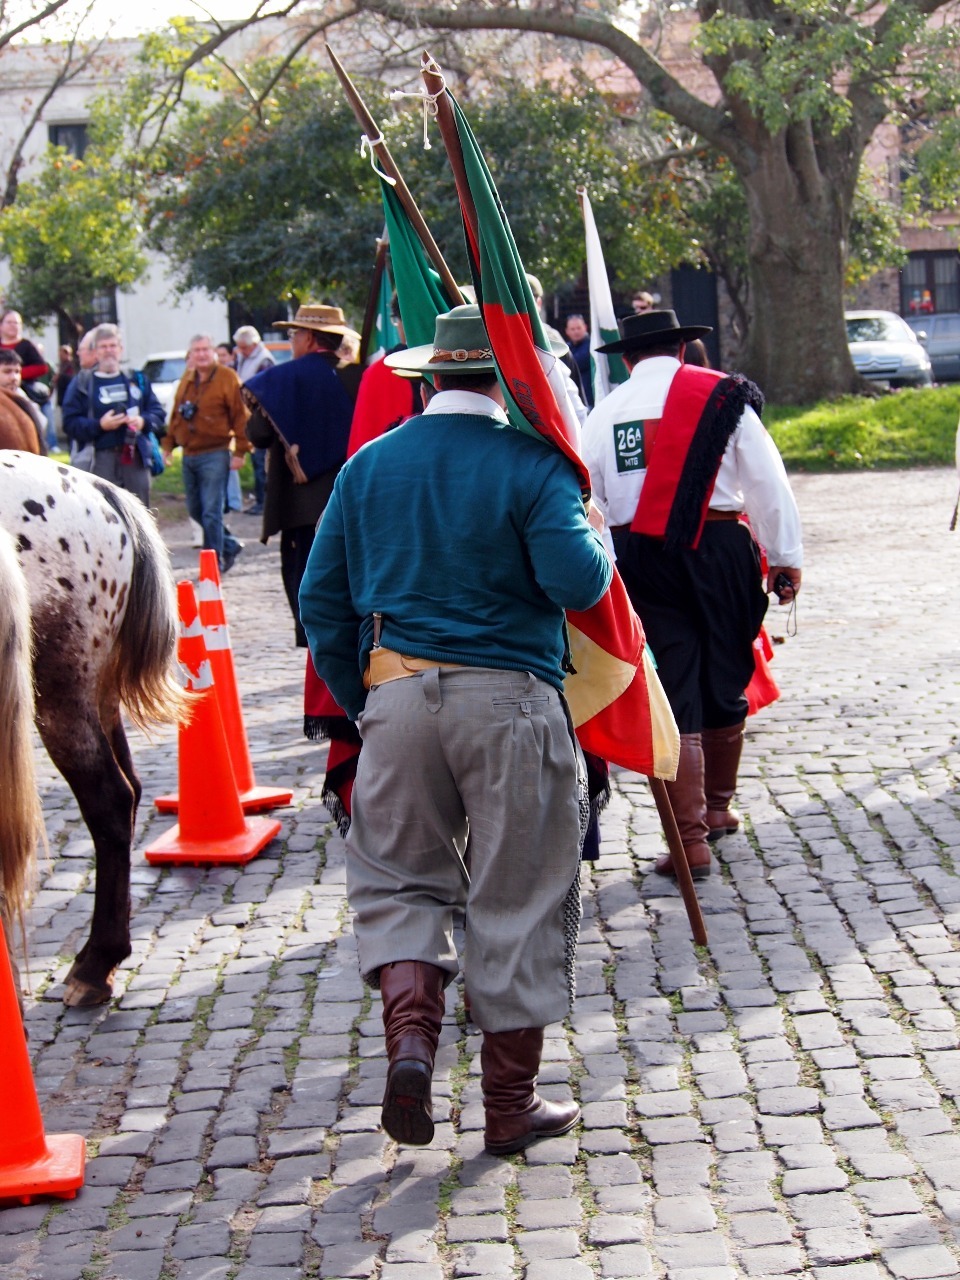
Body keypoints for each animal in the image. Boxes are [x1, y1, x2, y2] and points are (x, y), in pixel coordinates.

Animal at [0, 452, 185, 1007]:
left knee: (109, 798)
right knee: (131, 789)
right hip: (95, 690)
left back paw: (96, 961)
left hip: (59, 688)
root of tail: (102, 490)